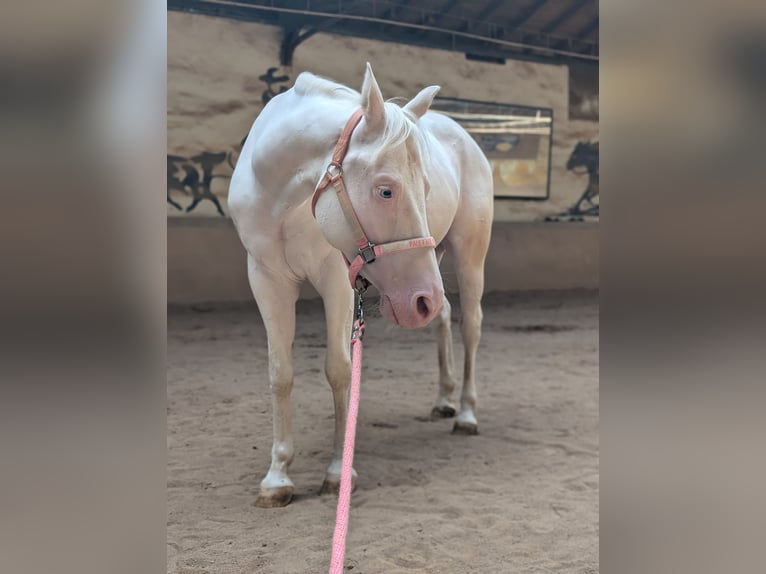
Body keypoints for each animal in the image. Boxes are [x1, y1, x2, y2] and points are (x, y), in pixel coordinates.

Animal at [230, 63, 492, 508]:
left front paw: (338, 473)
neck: (285, 197)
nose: (419, 301)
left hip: (465, 257)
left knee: (469, 325)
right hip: (430, 265)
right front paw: (277, 478)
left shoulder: (337, 280)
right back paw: (444, 400)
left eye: (425, 188)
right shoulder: (266, 279)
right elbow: (280, 373)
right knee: (443, 316)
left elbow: (340, 370)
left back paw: (467, 414)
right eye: (386, 189)